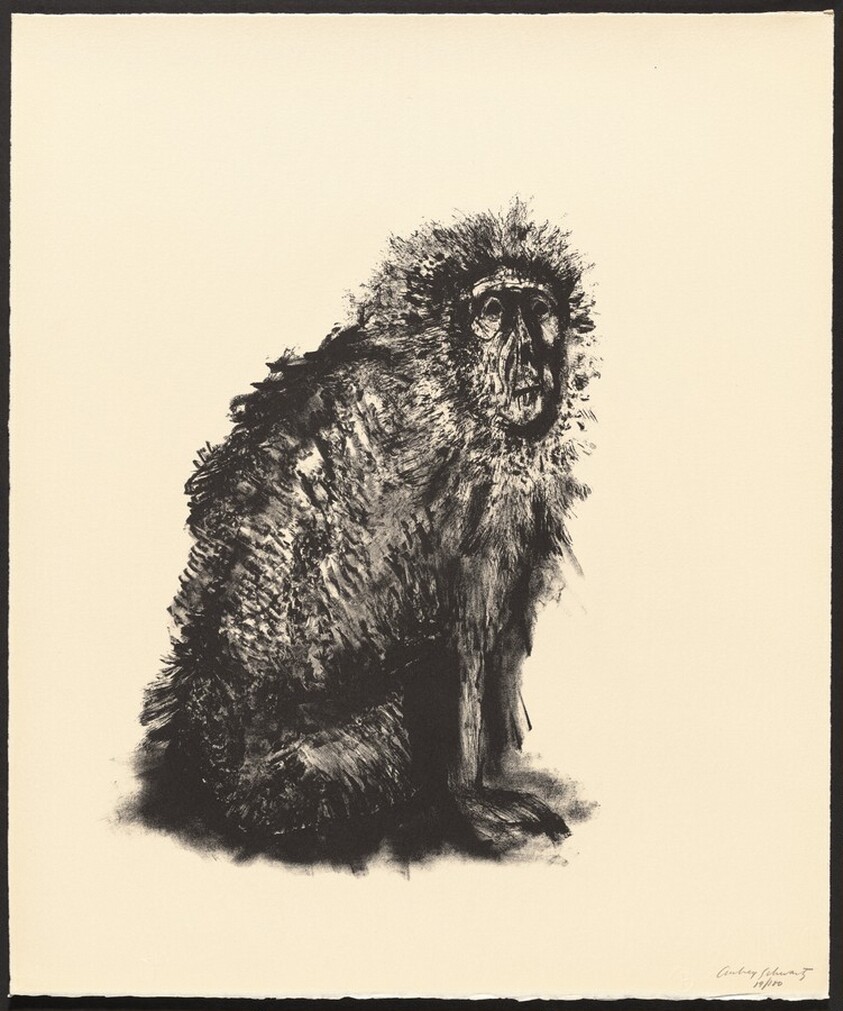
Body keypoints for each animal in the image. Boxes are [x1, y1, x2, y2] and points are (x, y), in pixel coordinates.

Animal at [138, 199, 598, 861]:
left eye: (538, 311)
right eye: (491, 311)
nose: (530, 357)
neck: (441, 377)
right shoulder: (444, 471)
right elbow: (452, 631)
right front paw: (468, 797)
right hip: (308, 770)